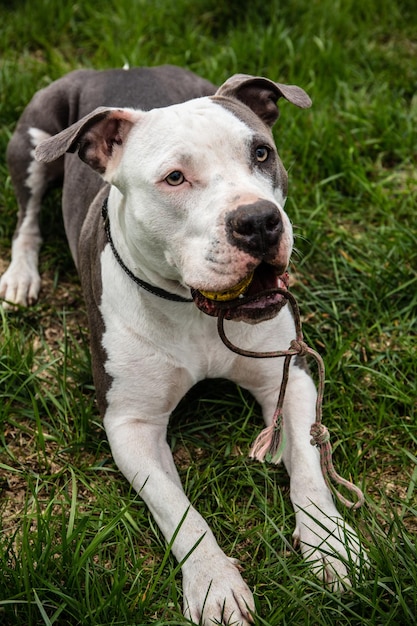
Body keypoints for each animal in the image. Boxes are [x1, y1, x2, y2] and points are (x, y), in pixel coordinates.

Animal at [0, 66, 364, 620]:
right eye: (175, 178)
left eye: (261, 153)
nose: (259, 221)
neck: (196, 314)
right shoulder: (131, 424)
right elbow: (179, 510)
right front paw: (214, 583)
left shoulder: (290, 376)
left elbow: (308, 466)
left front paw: (331, 546)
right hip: (33, 146)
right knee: (28, 218)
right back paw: (21, 276)